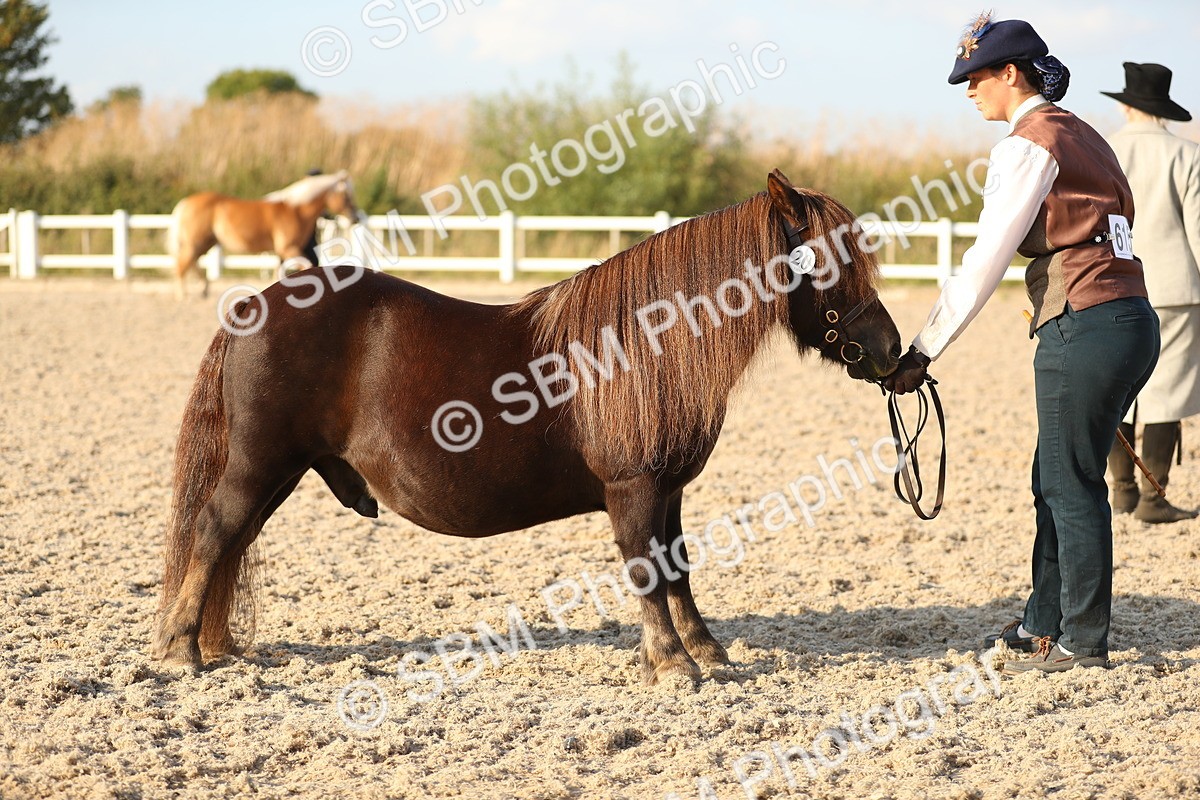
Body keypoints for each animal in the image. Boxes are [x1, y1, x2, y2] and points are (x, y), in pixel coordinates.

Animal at [168, 170, 364, 299]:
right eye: (346, 195)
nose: (355, 218)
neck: (295, 210)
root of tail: (186, 202)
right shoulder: (288, 248)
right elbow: (305, 266)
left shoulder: (283, 252)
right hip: (196, 243)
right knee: (182, 266)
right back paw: (183, 295)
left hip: (205, 243)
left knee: (191, 263)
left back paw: (203, 290)